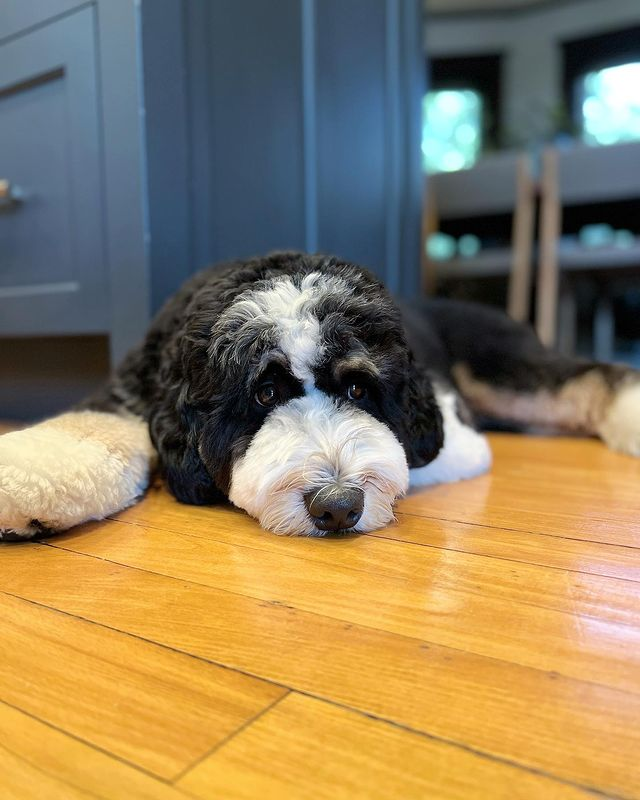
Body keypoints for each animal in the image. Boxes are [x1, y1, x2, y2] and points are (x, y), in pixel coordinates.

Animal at [1, 253, 640, 540]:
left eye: (358, 387)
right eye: (263, 393)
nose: (338, 506)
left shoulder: (452, 427)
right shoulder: (133, 386)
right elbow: (92, 420)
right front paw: (31, 476)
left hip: (503, 366)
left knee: (586, 378)